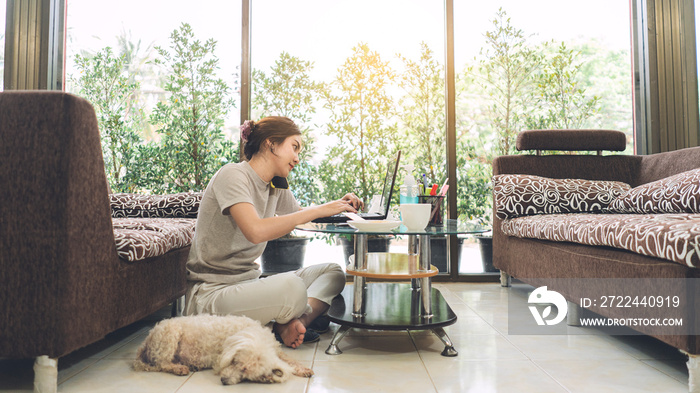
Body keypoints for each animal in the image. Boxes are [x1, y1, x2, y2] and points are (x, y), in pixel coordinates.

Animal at [133, 314, 314, 384]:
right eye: (234, 362)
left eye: (246, 374)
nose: (224, 381)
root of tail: (147, 340)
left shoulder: (277, 351)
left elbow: (289, 360)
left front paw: (303, 369)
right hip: (171, 334)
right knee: (161, 364)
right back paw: (178, 368)